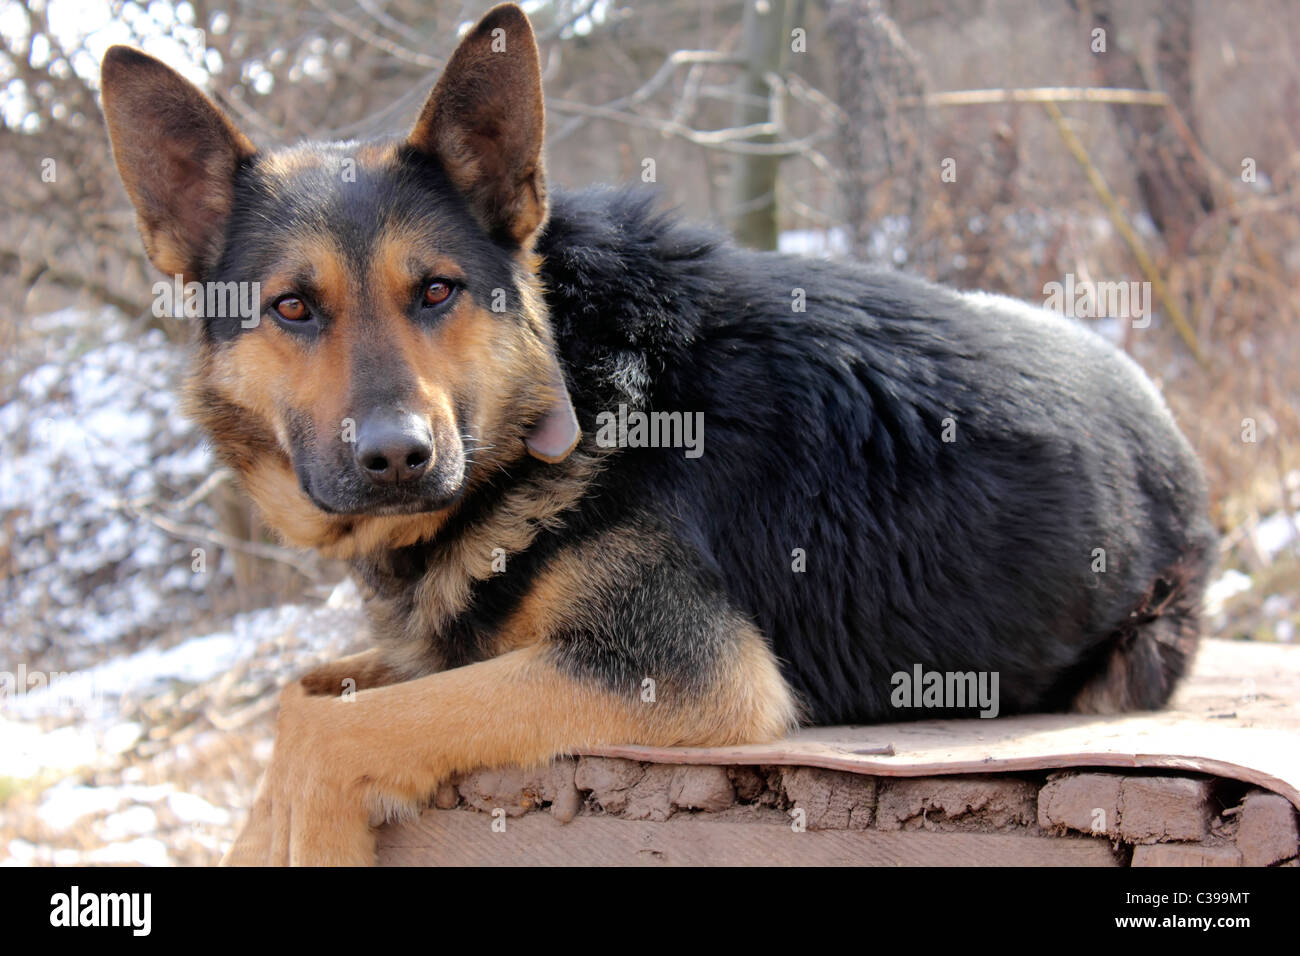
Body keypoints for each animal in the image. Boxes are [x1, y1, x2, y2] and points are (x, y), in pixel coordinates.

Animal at [98, 1, 1206, 868]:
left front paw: (311, 830)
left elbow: (342, 730)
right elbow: (304, 700)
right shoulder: (458, 646)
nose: (396, 456)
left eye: (438, 291)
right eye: (291, 308)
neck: (573, 380)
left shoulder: (682, 669)